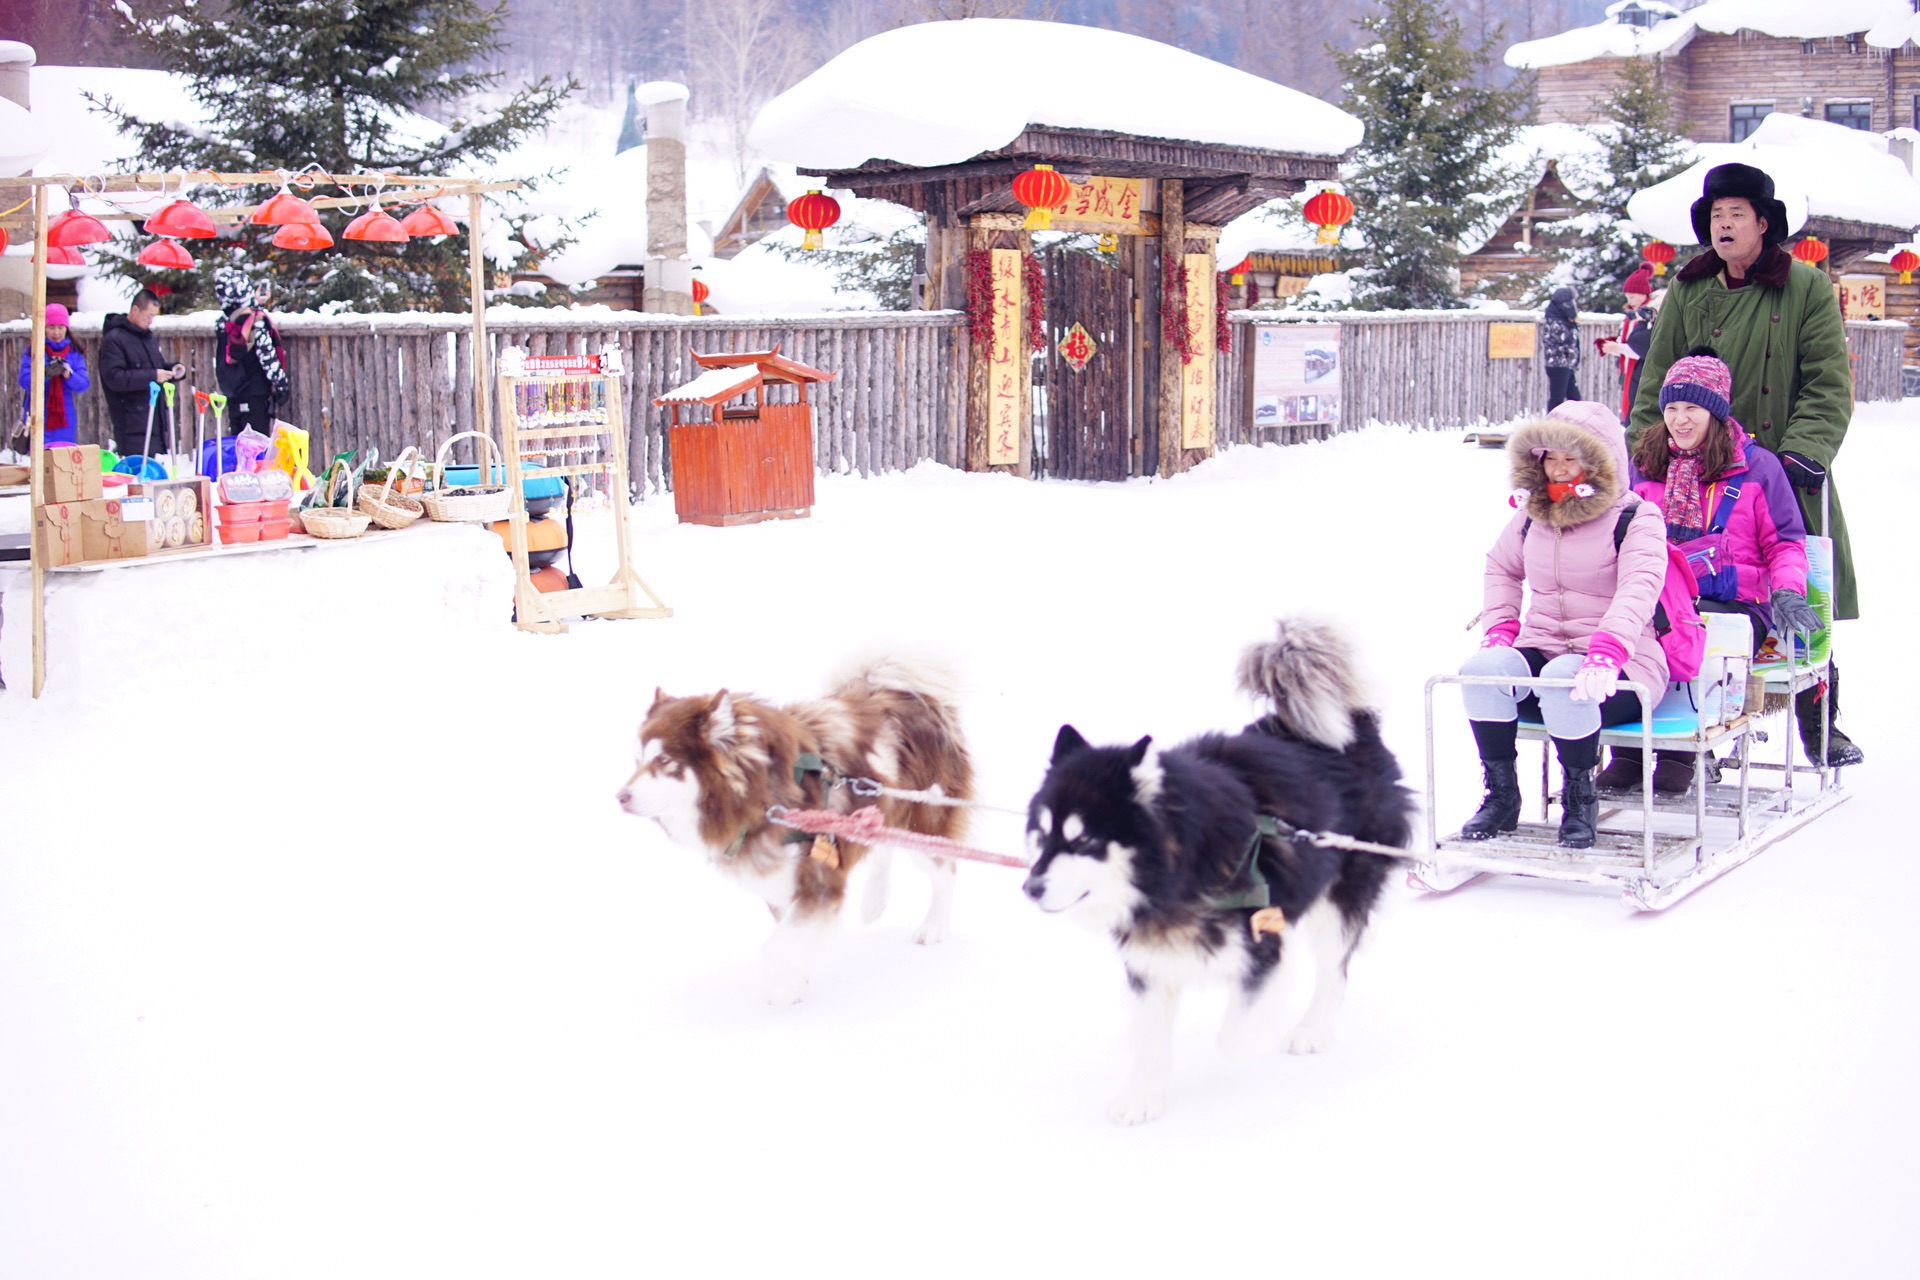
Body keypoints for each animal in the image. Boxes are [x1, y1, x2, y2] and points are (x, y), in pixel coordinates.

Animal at [618, 660, 975, 1013]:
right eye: (637, 761)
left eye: (664, 760)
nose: (619, 797)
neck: (760, 798)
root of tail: (911, 693)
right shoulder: (780, 882)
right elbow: (791, 936)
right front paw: (797, 982)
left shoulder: (817, 876)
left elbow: (777, 946)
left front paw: (781, 990)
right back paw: (874, 901)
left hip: (922, 821)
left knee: (945, 871)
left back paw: (933, 925)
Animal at [1021, 614, 1413, 1128]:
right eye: (1043, 835)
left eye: (1083, 839)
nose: (1030, 887)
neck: (1175, 874)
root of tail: (1356, 731)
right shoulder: (1148, 962)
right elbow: (1150, 1040)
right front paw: (1142, 1097)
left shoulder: (1263, 938)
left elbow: (1234, 1034)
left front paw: (1254, 1040)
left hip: (1339, 895)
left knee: (1335, 968)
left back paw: (1311, 1028)